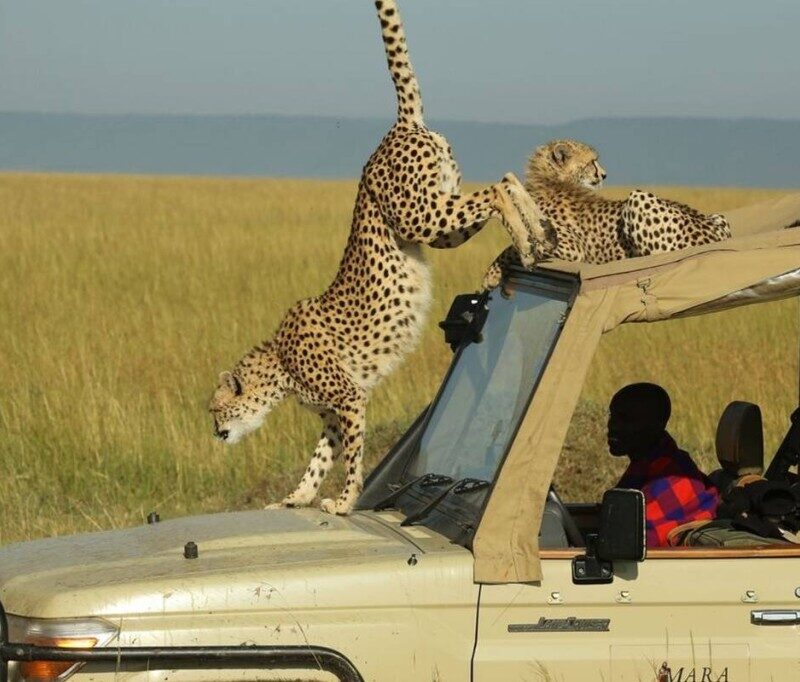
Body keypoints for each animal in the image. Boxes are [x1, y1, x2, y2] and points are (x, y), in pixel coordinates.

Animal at [209, 0, 551, 515]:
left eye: (215, 409)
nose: (215, 433)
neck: (279, 366)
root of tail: (398, 126)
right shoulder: (334, 412)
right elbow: (320, 458)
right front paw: (296, 499)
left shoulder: (349, 398)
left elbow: (352, 456)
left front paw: (345, 501)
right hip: (440, 217)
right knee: (508, 179)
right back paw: (537, 234)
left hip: (421, 217)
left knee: (497, 188)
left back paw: (529, 240)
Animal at [482, 139, 732, 291]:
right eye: (592, 162)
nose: (604, 174)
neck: (551, 180)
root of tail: (715, 235)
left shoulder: (571, 248)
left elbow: (514, 246)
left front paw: (491, 273)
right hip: (719, 218)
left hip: (638, 198)